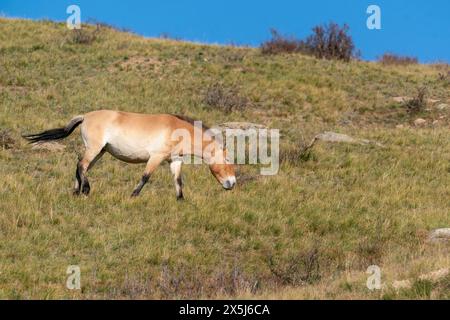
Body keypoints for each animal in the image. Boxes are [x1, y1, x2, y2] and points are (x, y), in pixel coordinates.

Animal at [22, 110, 237, 200]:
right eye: (228, 160)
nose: (232, 183)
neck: (176, 129)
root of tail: (85, 116)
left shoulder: (173, 161)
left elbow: (178, 181)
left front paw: (181, 200)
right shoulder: (156, 157)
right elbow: (145, 177)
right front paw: (133, 196)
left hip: (100, 152)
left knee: (80, 165)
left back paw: (76, 192)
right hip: (94, 149)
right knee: (82, 165)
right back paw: (86, 190)